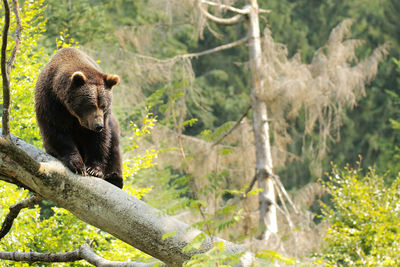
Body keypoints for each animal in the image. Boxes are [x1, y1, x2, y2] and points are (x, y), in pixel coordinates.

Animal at [35, 48, 124, 189]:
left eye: (103, 105)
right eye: (90, 105)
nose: (98, 125)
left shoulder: (103, 118)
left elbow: (99, 140)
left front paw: (94, 169)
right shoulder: (50, 102)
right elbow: (57, 132)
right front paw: (77, 164)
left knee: (114, 144)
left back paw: (115, 178)